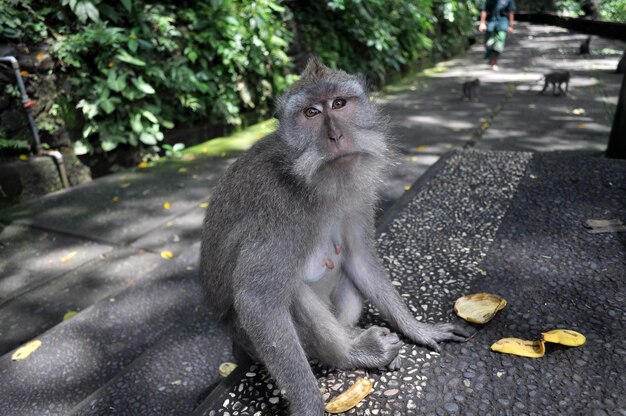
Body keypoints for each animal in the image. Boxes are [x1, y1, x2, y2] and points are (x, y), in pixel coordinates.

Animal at [199, 57, 468, 414]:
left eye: (339, 104)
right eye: (311, 112)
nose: (336, 135)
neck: (316, 183)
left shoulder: (357, 195)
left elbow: (360, 258)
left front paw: (417, 329)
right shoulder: (277, 212)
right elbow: (258, 301)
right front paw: (310, 404)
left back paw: (355, 335)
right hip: (249, 338)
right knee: (292, 293)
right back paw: (353, 353)